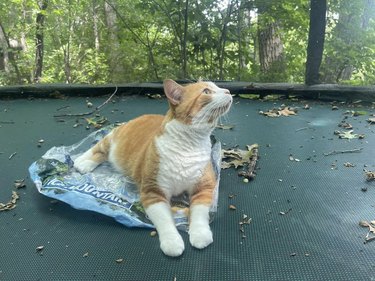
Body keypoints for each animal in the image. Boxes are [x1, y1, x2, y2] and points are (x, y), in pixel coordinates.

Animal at [73, 79, 232, 256]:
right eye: (206, 91)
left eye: (218, 86)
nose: (228, 91)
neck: (189, 144)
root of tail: (143, 116)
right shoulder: (152, 192)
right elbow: (165, 220)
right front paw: (172, 241)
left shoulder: (204, 187)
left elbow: (199, 213)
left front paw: (200, 234)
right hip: (112, 139)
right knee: (98, 148)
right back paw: (83, 161)